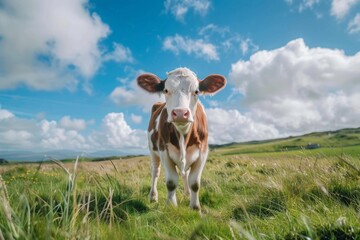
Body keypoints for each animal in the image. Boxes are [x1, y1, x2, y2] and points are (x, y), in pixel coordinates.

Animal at [137, 67, 225, 210]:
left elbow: (194, 182)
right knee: (155, 172)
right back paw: (153, 196)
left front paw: (195, 207)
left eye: (196, 91)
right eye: (166, 90)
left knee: (184, 173)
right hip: (153, 151)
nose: (180, 113)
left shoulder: (203, 152)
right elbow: (171, 182)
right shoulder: (164, 151)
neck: (183, 134)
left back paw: (187, 193)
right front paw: (171, 206)